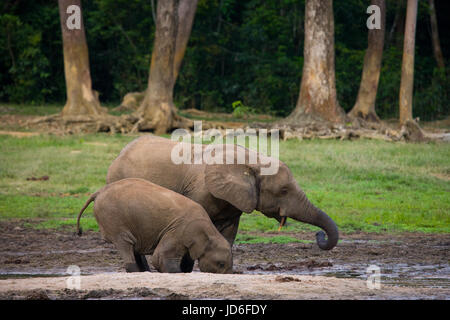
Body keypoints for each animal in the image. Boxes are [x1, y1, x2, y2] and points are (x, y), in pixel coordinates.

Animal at [76, 178, 232, 272]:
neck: (210, 230)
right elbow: (160, 258)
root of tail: (98, 192)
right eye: (221, 264)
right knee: (125, 243)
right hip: (113, 218)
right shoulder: (179, 230)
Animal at [105, 134, 338, 251]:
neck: (253, 160)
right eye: (283, 190)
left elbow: (229, 231)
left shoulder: (235, 200)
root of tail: (120, 152)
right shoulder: (200, 190)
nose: (319, 235)